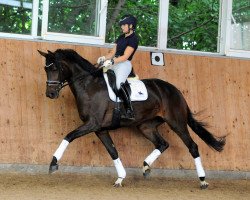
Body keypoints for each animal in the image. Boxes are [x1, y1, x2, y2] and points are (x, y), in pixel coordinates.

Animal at [38, 48, 226, 189]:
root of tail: (175, 90)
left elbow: (68, 136)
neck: (89, 85)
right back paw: (146, 166)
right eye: (46, 69)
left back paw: (203, 181)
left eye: (54, 68)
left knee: (192, 146)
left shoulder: (92, 124)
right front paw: (120, 178)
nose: (50, 94)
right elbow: (113, 151)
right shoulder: (100, 129)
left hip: (177, 123)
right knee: (162, 144)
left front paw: (53, 163)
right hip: (146, 126)